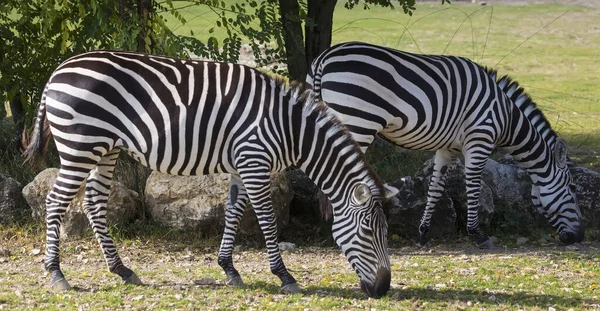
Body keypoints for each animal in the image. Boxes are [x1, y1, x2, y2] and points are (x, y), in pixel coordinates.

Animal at [22, 51, 398, 300]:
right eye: (369, 231)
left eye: (386, 233)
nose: (382, 290)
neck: (290, 128)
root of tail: (57, 72)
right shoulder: (254, 160)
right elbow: (266, 219)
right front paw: (284, 275)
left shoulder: (241, 166)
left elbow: (233, 212)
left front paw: (229, 268)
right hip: (80, 146)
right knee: (56, 202)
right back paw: (56, 273)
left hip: (105, 148)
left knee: (94, 203)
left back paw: (122, 269)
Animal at [304, 41, 580, 250]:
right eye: (573, 189)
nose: (580, 235)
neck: (506, 117)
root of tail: (324, 58)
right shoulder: (480, 139)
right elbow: (473, 187)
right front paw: (478, 234)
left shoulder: (449, 149)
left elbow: (435, 189)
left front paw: (423, 233)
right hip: (357, 122)